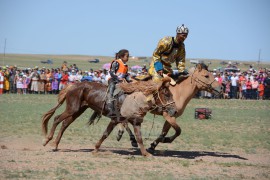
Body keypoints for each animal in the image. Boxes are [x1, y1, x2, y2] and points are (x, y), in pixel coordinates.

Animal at [41, 79, 174, 156]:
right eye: (166, 94)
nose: (174, 110)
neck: (133, 99)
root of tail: (72, 86)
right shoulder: (115, 120)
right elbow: (105, 134)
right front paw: (95, 149)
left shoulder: (136, 122)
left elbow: (139, 138)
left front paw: (145, 153)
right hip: (72, 109)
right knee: (57, 119)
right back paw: (48, 140)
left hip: (77, 111)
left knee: (64, 124)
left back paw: (55, 144)